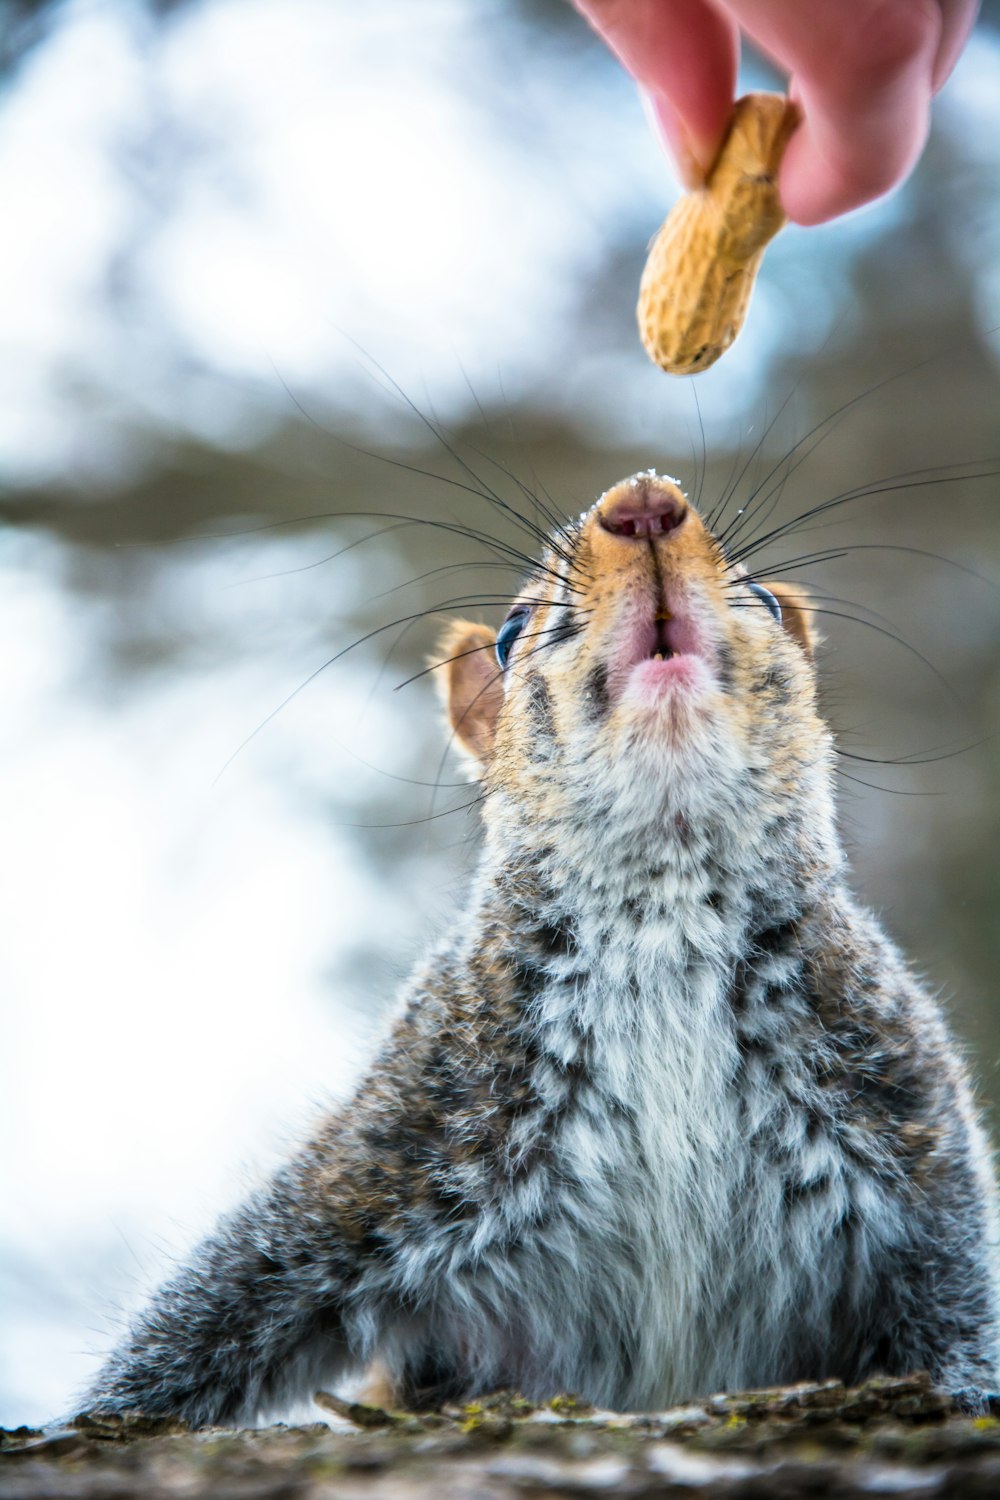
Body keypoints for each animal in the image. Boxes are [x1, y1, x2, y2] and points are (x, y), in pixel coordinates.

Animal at [82, 474, 995, 1422]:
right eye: (514, 630)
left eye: (771, 602)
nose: (643, 501)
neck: (666, 908)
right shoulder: (401, 1146)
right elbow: (226, 1299)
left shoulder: (915, 1141)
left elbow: (957, 1314)